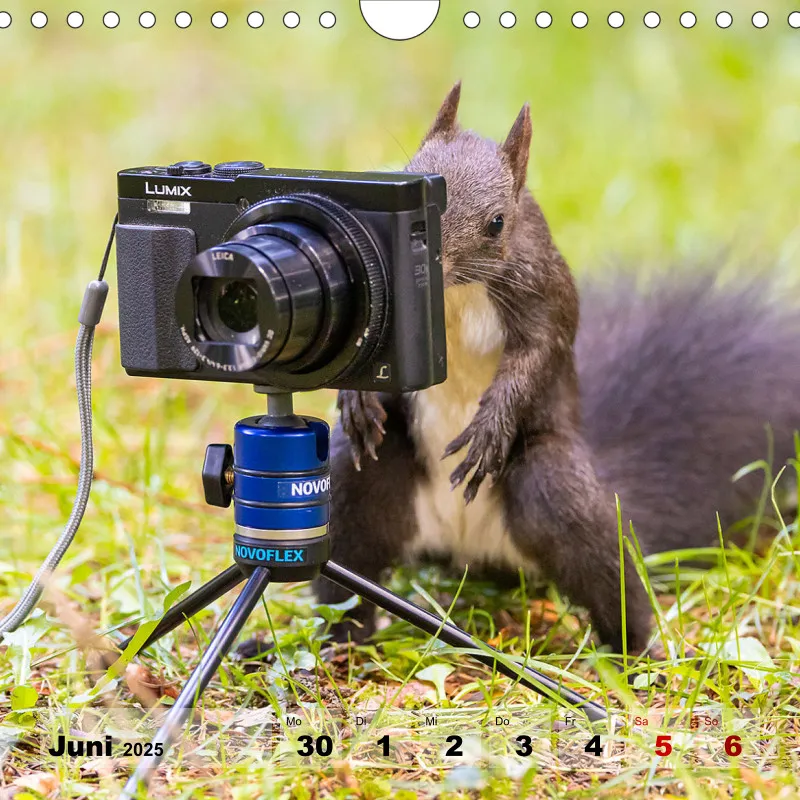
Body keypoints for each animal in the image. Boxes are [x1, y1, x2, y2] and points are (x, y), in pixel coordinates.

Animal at [312, 82, 800, 654]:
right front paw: (355, 396)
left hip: (552, 485)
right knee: (349, 567)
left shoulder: (546, 295)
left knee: (606, 573)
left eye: (497, 222)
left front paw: (492, 424)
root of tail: (470, 541)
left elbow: (538, 354)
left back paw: (639, 653)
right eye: (405, 175)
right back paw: (335, 641)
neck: (455, 293)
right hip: (364, 480)